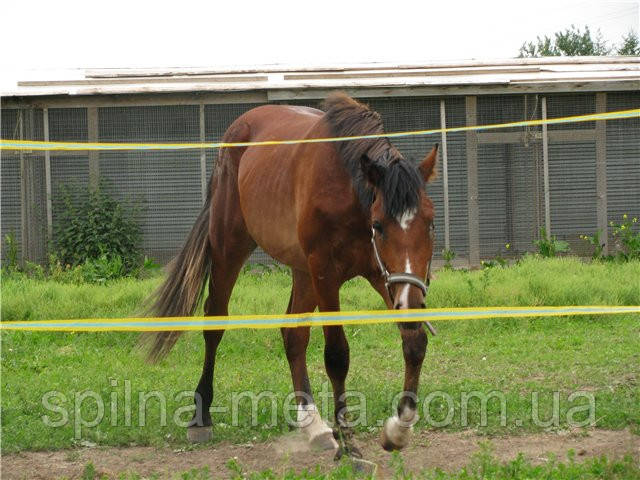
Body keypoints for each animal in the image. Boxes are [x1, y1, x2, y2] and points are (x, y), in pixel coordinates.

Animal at [142, 94, 438, 458]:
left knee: (292, 335)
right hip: (231, 248)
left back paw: (312, 423)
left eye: (430, 223)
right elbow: (337, 355)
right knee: (215, 323)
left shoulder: (387, 277)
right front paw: (349, 442)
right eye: (379, 225)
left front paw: (397, 430)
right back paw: (201, 416)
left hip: (302, 271)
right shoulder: (326, 274)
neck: (348, 192)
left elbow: (414, 342)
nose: (412, 302)